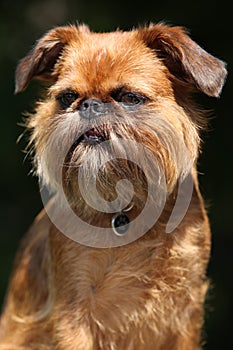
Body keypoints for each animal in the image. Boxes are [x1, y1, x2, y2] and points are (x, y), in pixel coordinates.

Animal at [0, 23, 226, 348]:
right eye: (67, 97)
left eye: (130, 97)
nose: (90, 105)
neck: (129, 204)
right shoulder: (74, 310)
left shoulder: (184, 311)